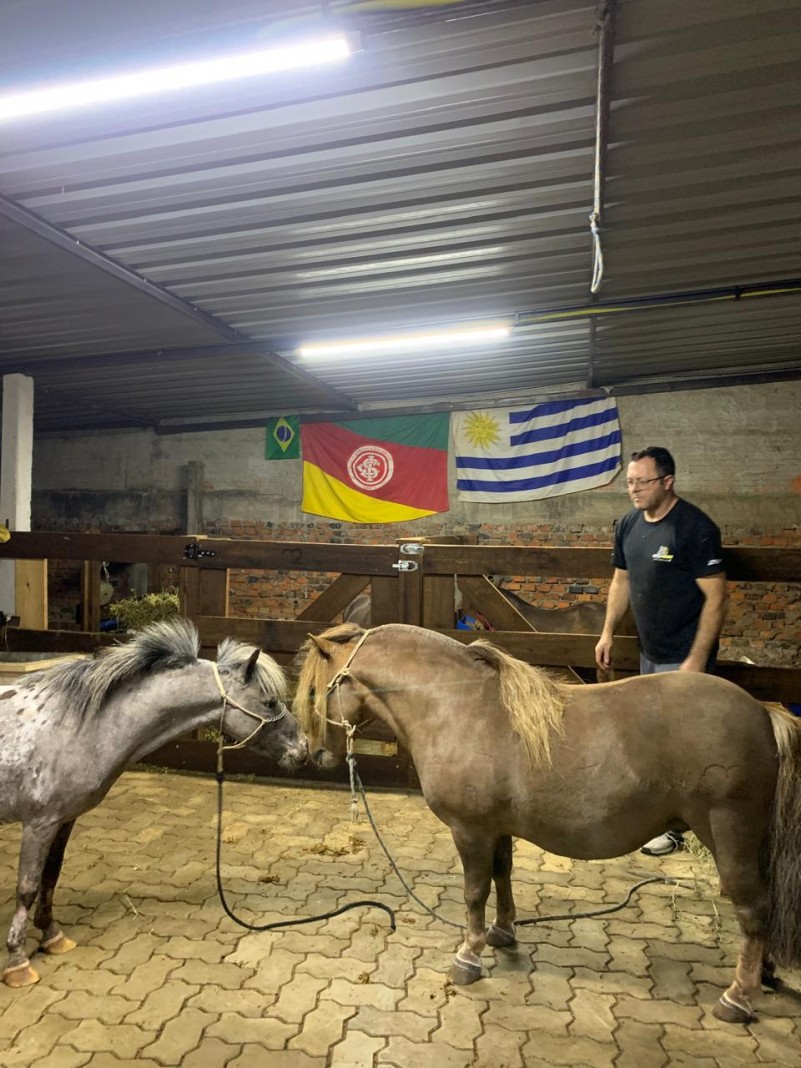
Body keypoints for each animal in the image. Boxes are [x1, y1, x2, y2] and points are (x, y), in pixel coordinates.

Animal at [292, 623, 801, 1025]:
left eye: (317, 691)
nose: (313, 755)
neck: (458, 706)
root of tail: (763, 712)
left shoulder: (470, 831)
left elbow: (474, 892)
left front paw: (468, 956)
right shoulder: (497, 830)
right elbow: (502, 878)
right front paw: (501, 934)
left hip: (728, 834)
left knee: (753, 908)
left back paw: (737, 998)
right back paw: (763, 974)